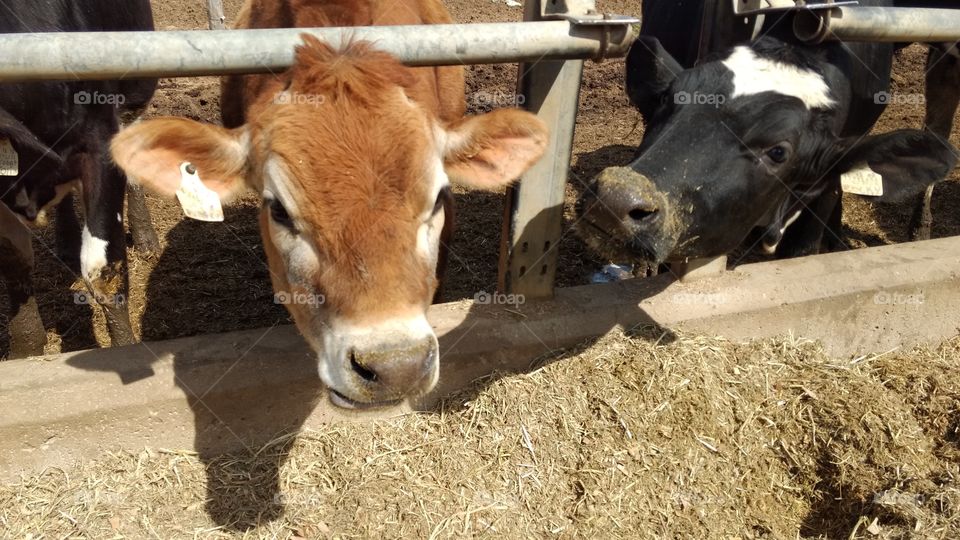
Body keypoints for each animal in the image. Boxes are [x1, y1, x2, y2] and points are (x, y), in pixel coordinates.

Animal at [0, 0, 157, 358]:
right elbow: (13, 257)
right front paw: (25, 347)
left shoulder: (99, 140)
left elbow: (102, 270)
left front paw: (123, 351)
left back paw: (145, 237)